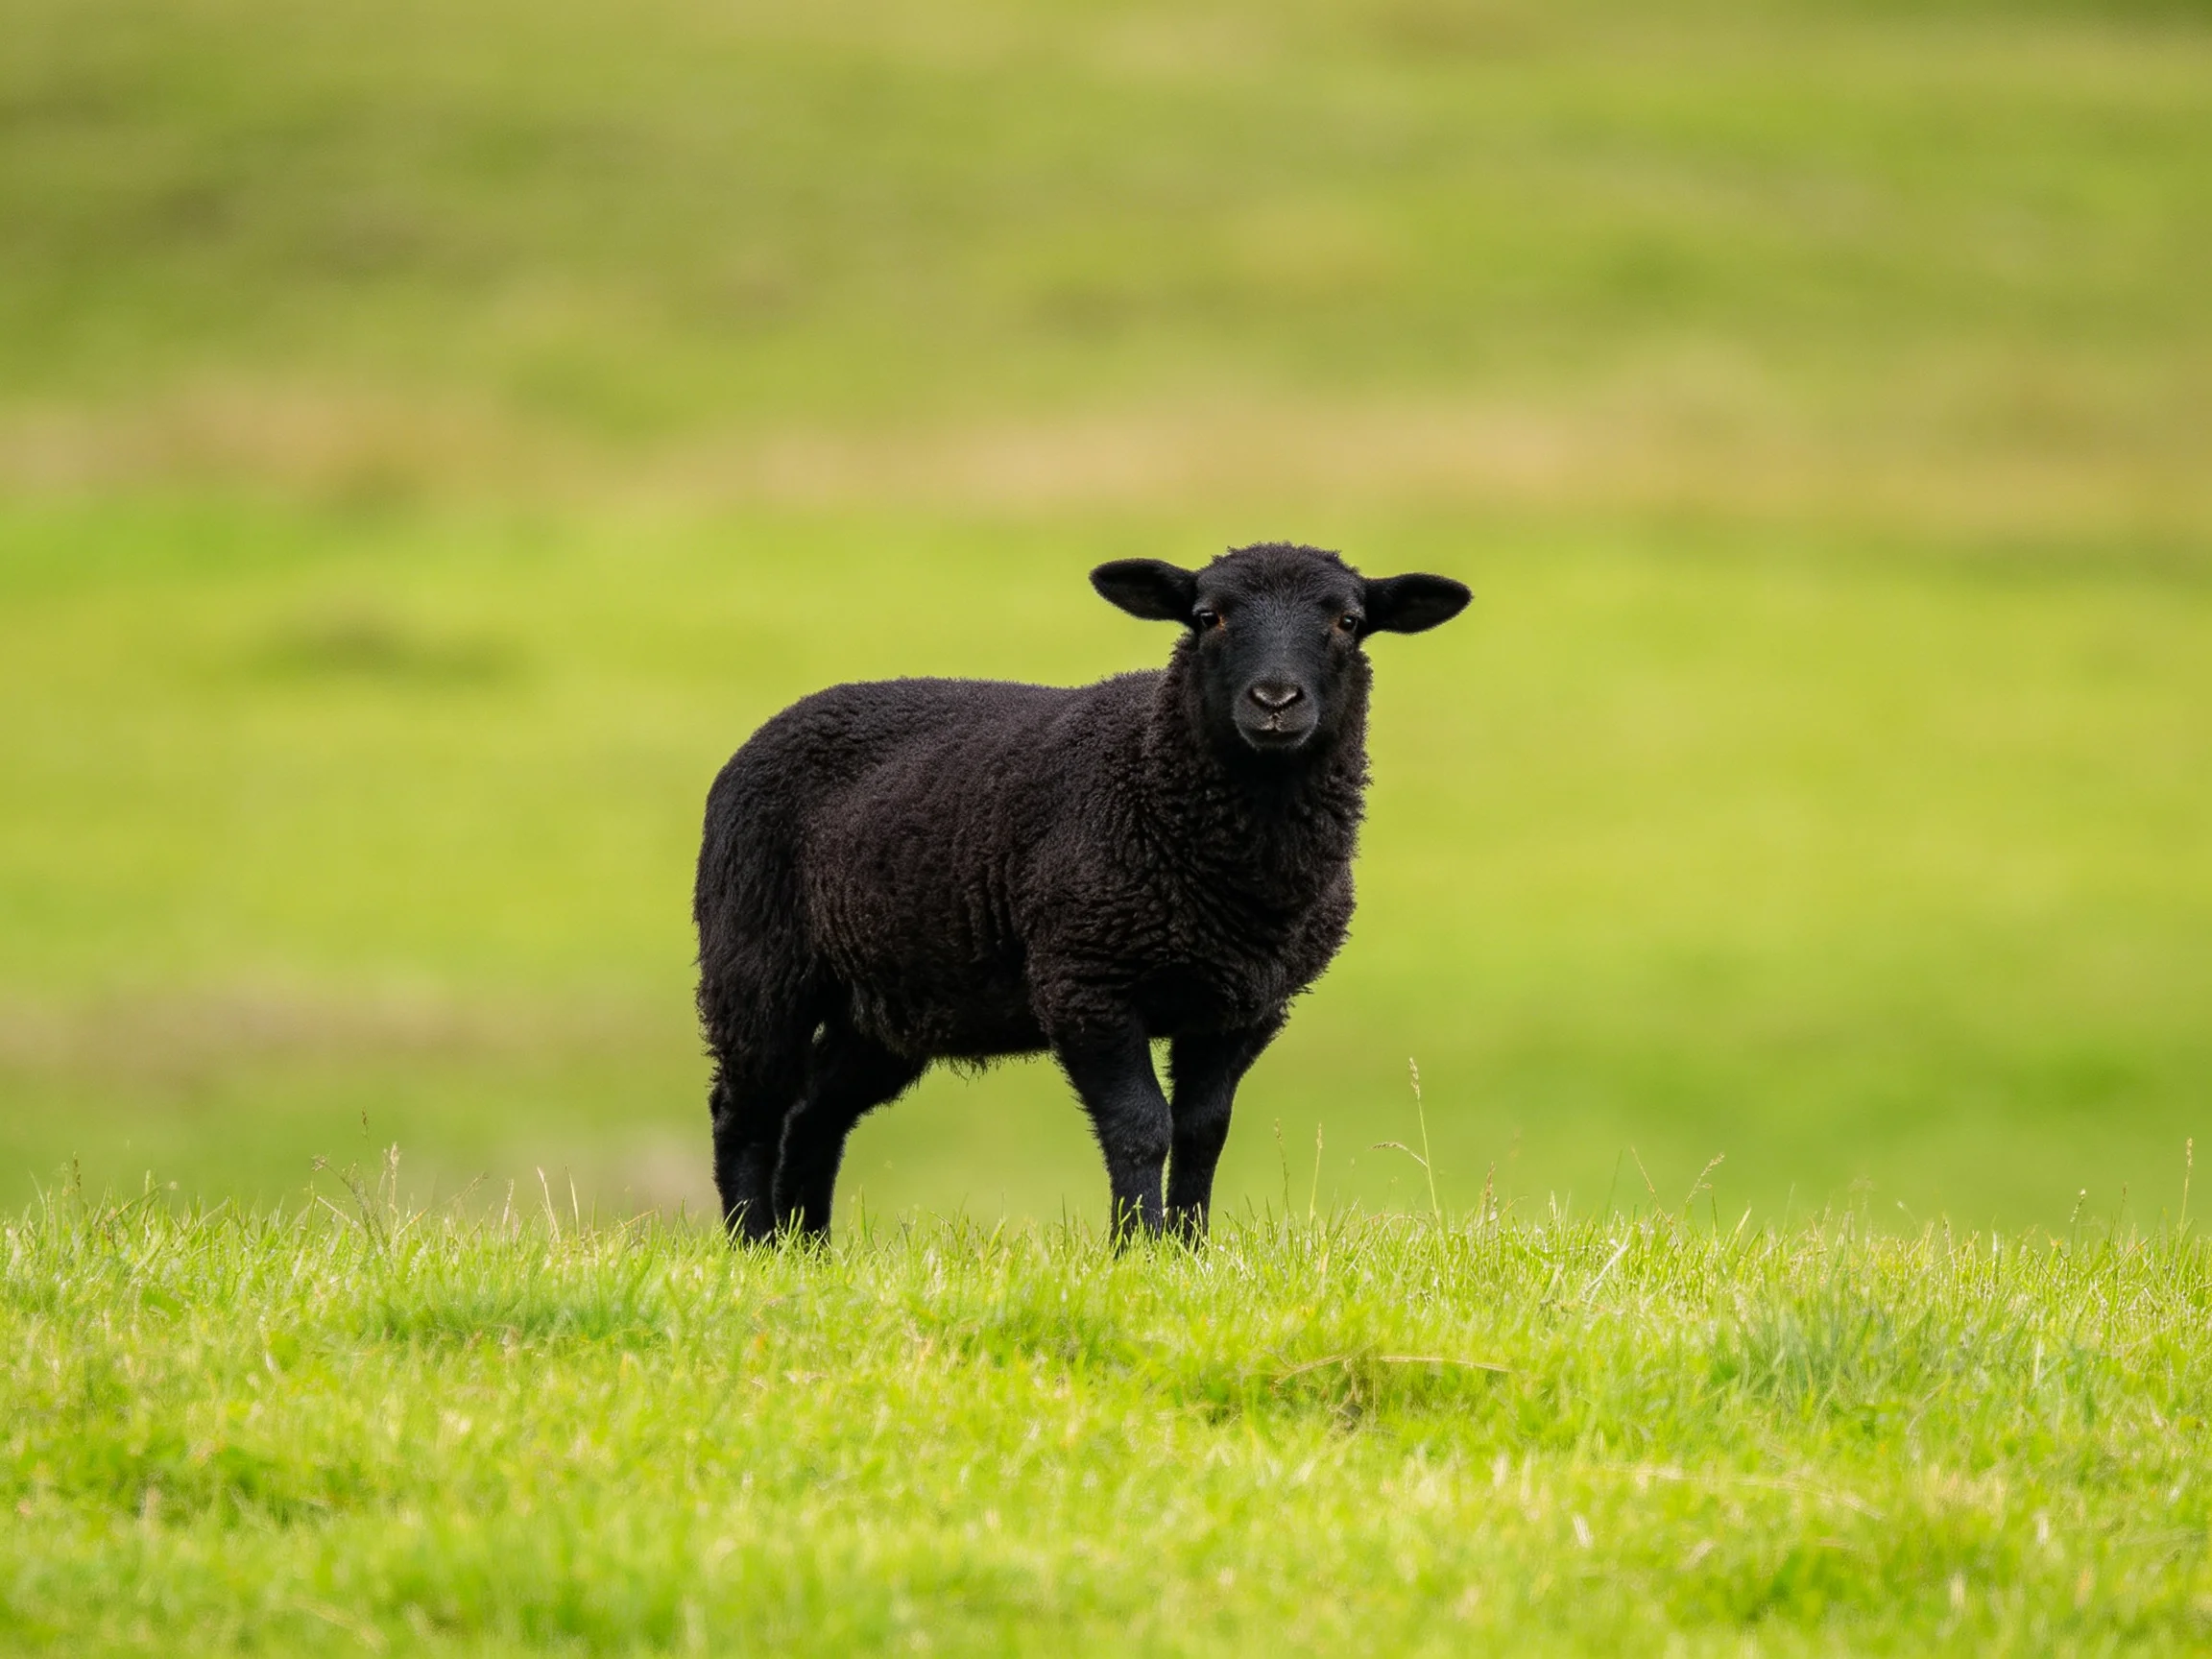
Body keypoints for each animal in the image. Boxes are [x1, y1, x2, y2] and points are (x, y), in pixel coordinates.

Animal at [693, 542, 1469, 1243]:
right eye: (1207, 617)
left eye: (1348, 621)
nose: (1275, 700)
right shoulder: (1087, 982)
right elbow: (1141, 1128)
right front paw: (1136, 1249)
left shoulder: (1243, 1007)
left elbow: (1202, 1130)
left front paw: (1189, 1250)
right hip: (758, 963)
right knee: (746, 1112)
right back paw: (753, 1246)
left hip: (889, 1003)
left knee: (814, 1115)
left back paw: (808, 1250)